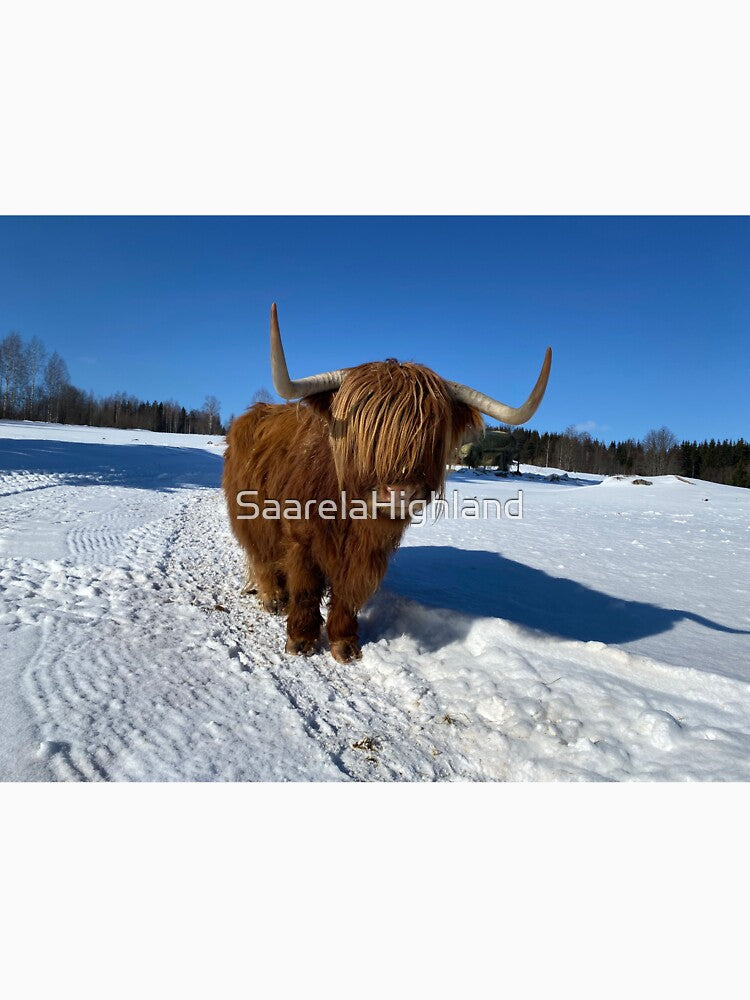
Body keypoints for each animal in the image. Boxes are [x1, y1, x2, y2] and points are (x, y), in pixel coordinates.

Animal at [222, 304, 551, 663]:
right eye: (366, 429)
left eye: (431, 434)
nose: (399, 493)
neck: (348, 511)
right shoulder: (301, 539)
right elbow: (306, 588)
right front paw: (301, 639)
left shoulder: (368, 553)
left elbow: (349, 593)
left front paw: (344, 644)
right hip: (251, 516)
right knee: (262, 556)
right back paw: (273, 598)